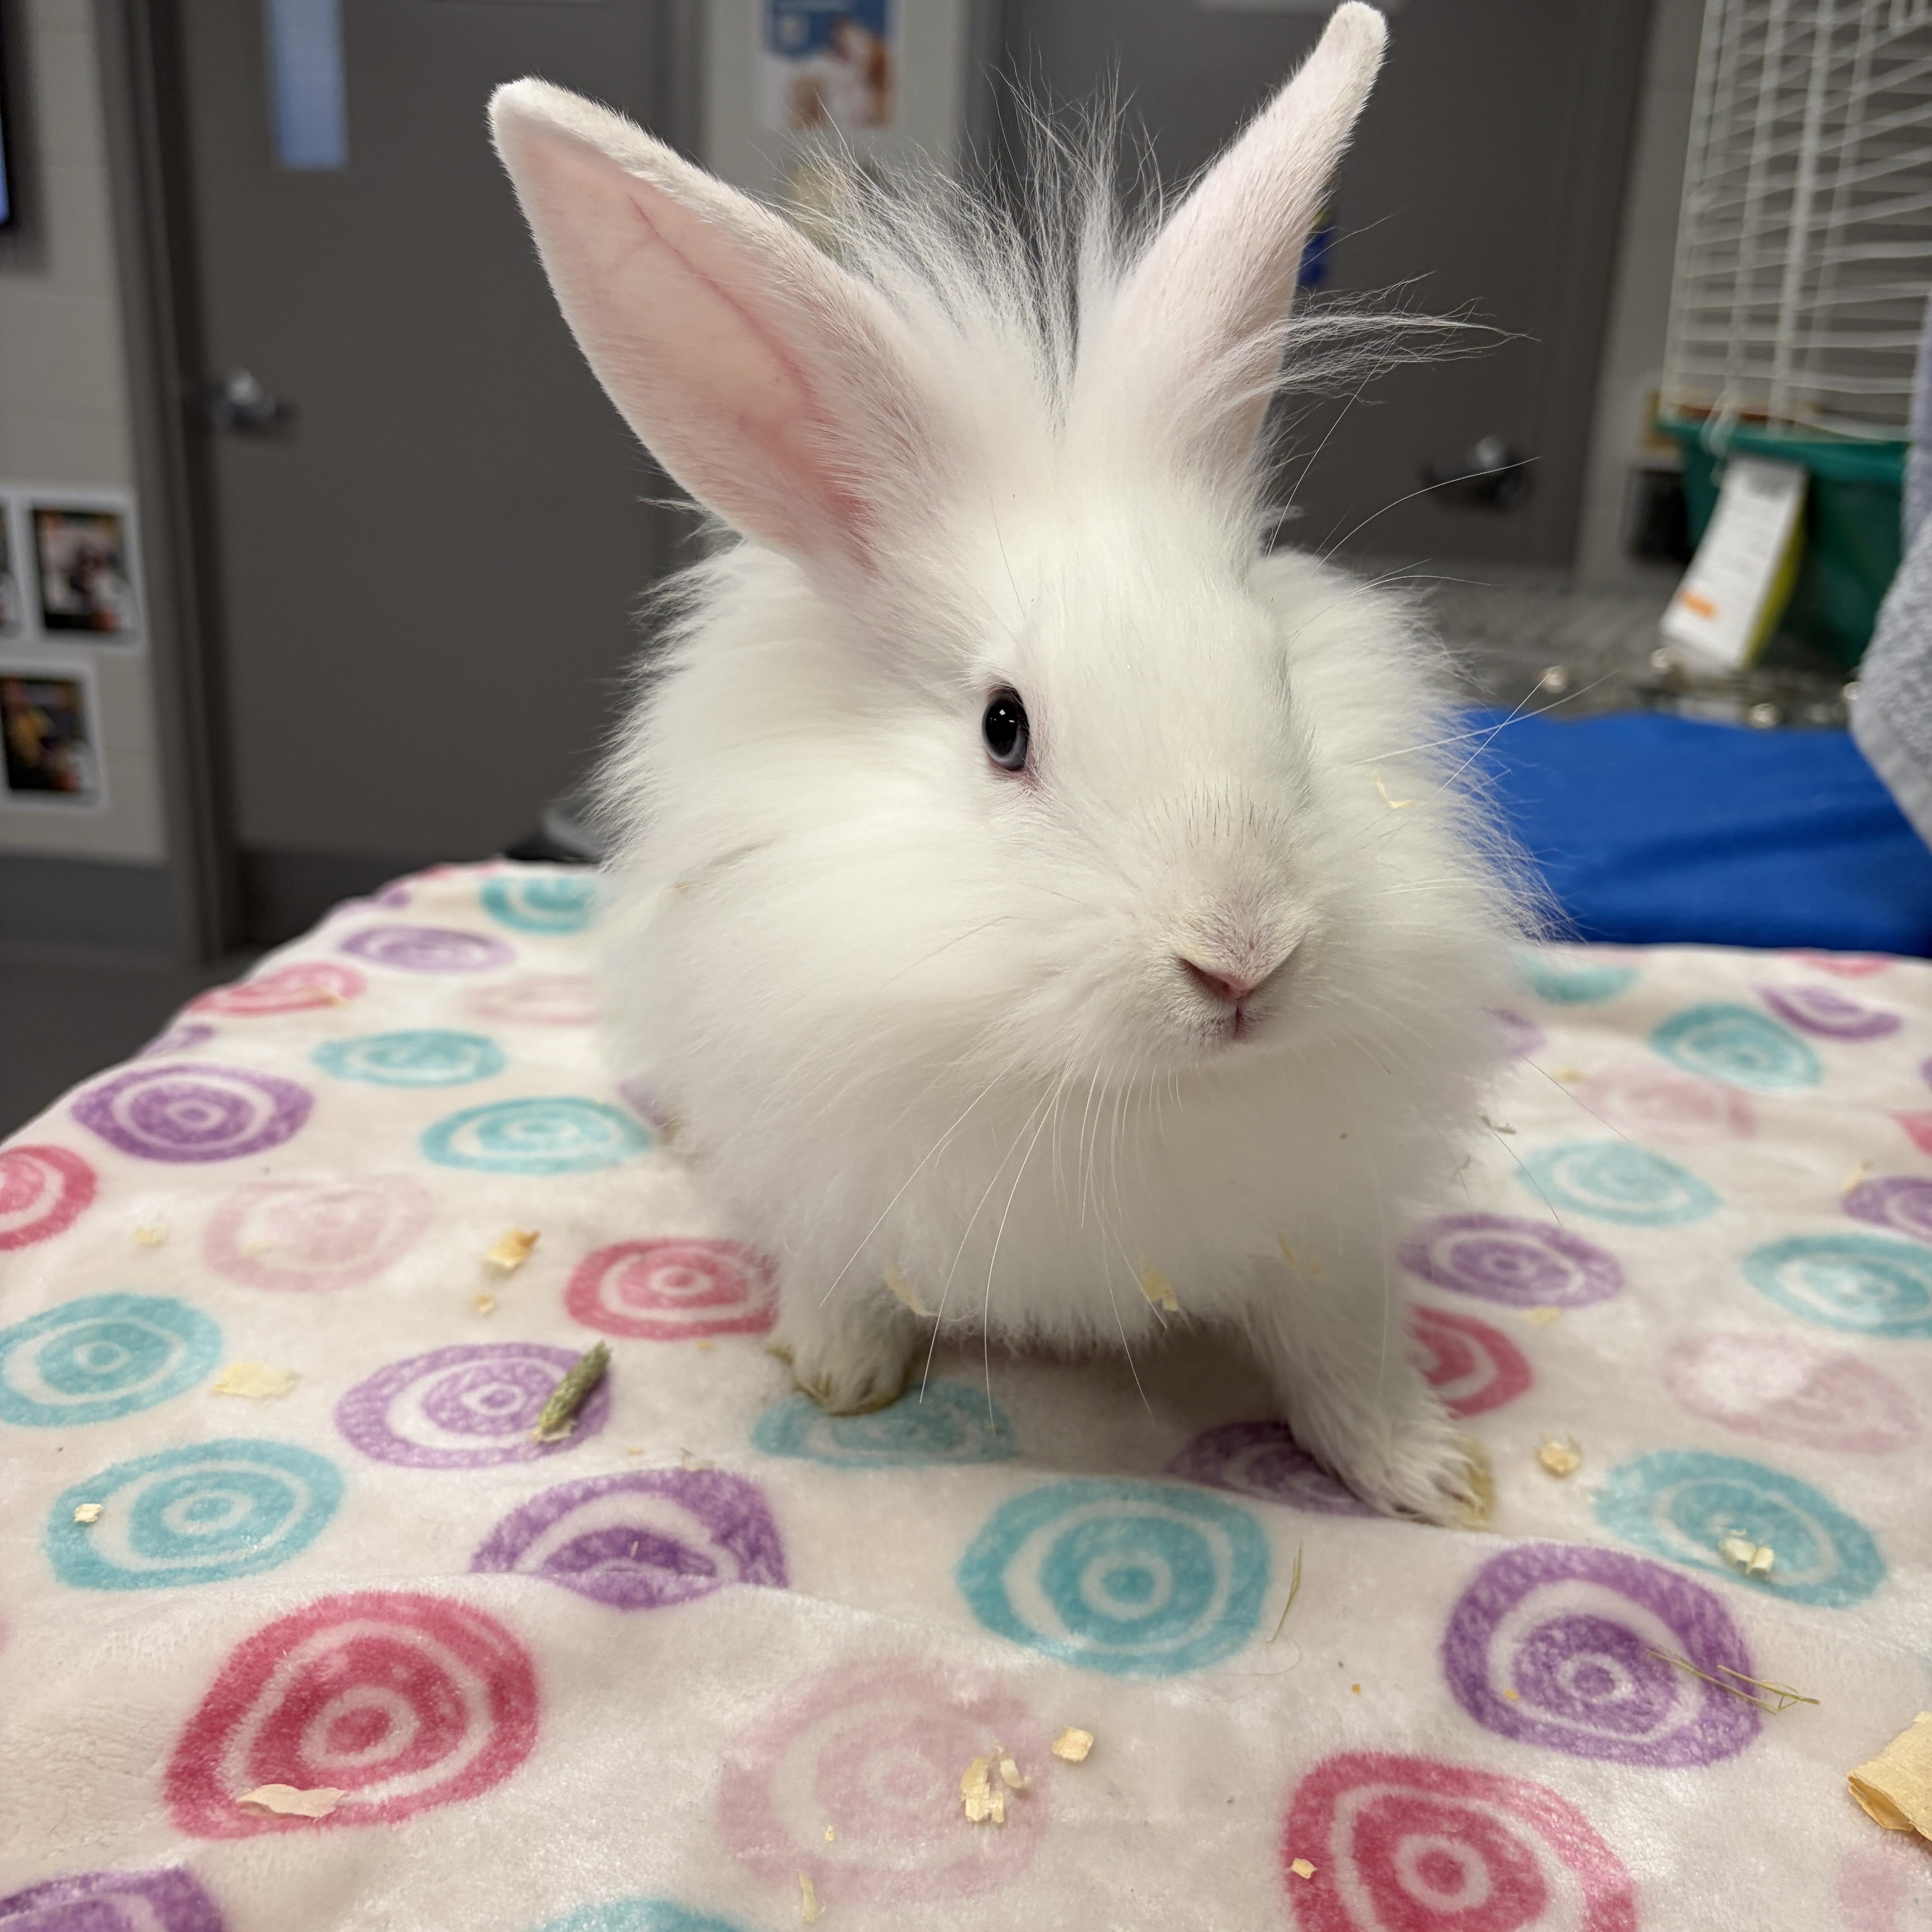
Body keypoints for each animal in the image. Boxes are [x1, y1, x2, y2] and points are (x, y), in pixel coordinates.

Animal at [490, 1, 1527, 1524]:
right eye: (1004, 728)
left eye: (1275, 678)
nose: (1243, 961)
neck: (1112, 1087)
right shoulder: (828, 1164)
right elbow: (842, 1273)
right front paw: (838, 1373)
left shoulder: (1318, 1224)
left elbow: (1339, 1347)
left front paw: (1426, 1471)